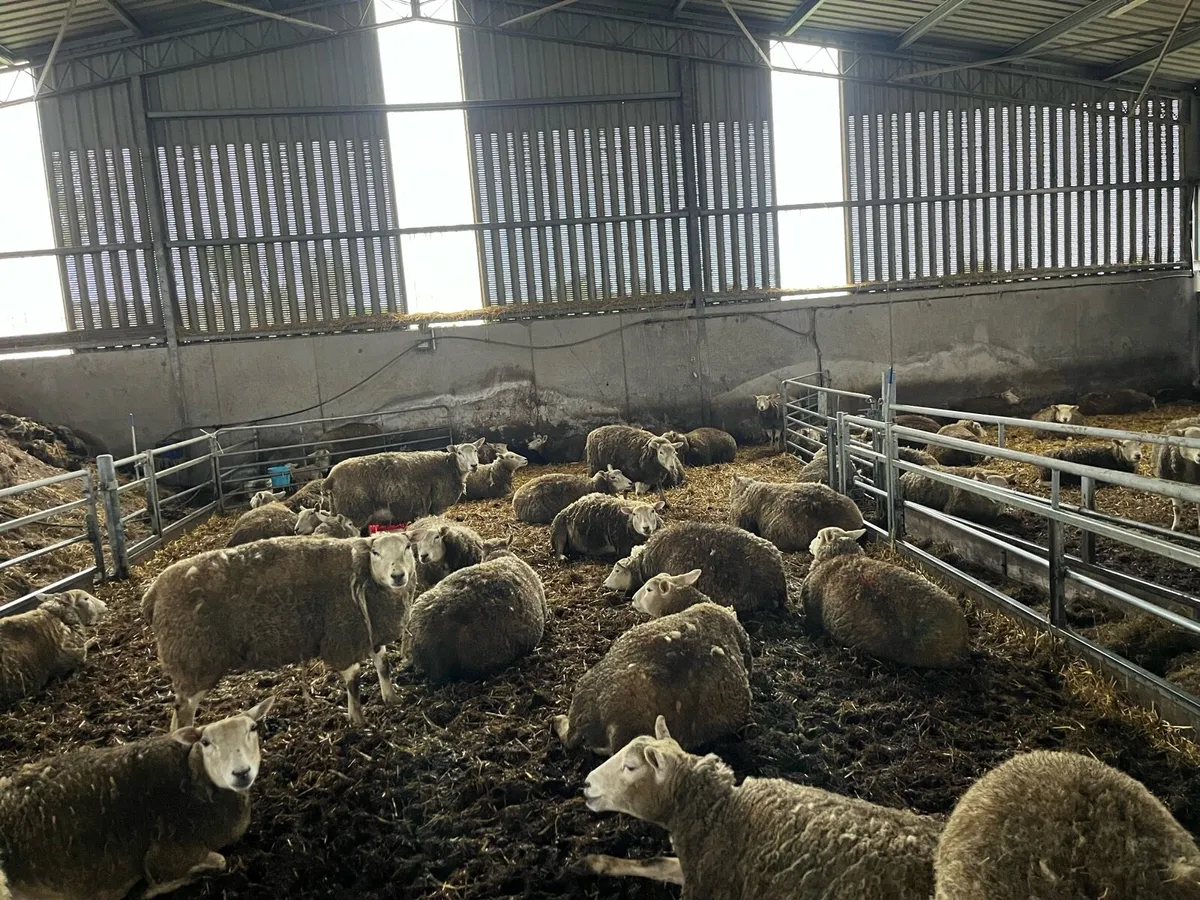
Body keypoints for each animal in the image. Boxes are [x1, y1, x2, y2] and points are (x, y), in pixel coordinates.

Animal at [0, 697, 275, 900]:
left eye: (253, 728)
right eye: (206, 742)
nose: (241, 772)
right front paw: (145, 889)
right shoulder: (168, 855)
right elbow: (217, 861)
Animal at [142, 532, 416, 728]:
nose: (398, 575)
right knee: (182, 713)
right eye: (376, 552)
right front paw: (358, 721)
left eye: (407, 548)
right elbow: (354, 682)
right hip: (193, 660)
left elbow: (383, 665)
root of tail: (152, 594)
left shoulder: (370, 631)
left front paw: (391, 699)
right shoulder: (343, 638)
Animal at [325, 439, 484, 528]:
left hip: (339, 511)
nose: (474, 466)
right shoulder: (439, 506)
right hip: (354, 513)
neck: (449, 467)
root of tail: (330, 477)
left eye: (476, 450)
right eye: (459, 453)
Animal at [578, 716, 941, 898]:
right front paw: (594, 863)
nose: (586, 784)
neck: (722, 811)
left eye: (630, 767)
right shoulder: (701, 867)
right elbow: (653, 862)